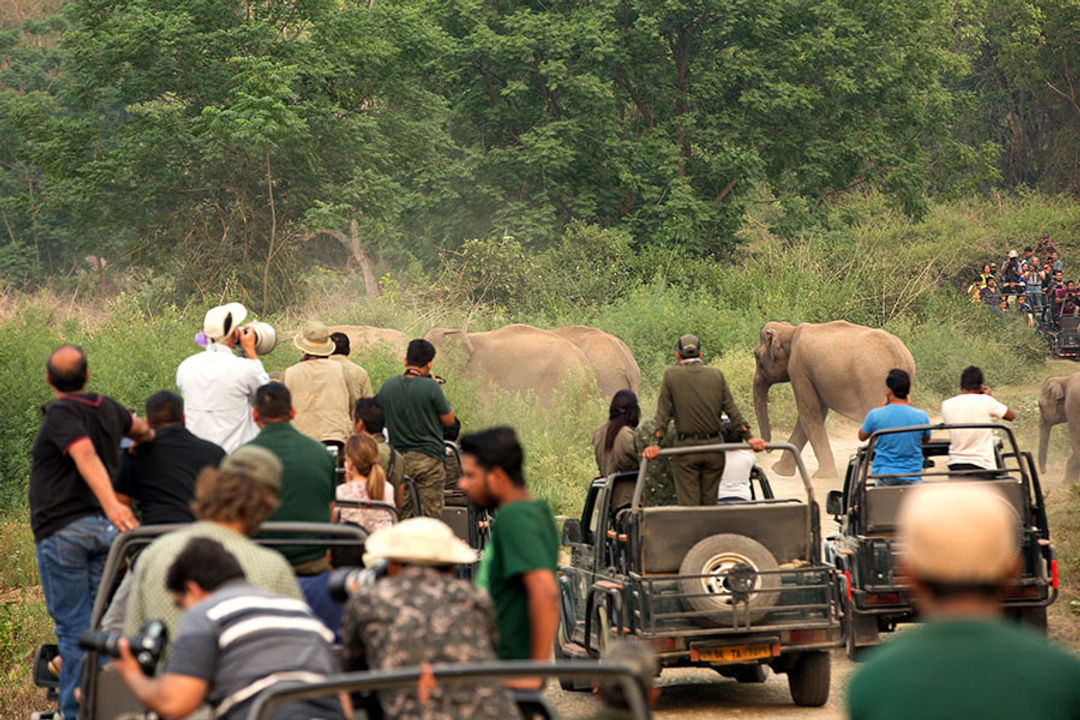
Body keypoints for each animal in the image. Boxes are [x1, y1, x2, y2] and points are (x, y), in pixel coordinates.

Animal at [756, 321, 915, 479]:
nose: (767, 448)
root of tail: (898, 355)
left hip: (873, 381)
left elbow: (809, 412)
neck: (790, 330)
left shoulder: (798, 368)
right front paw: (779, 471)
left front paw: (822, 475)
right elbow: (816, 412)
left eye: (756, 356)